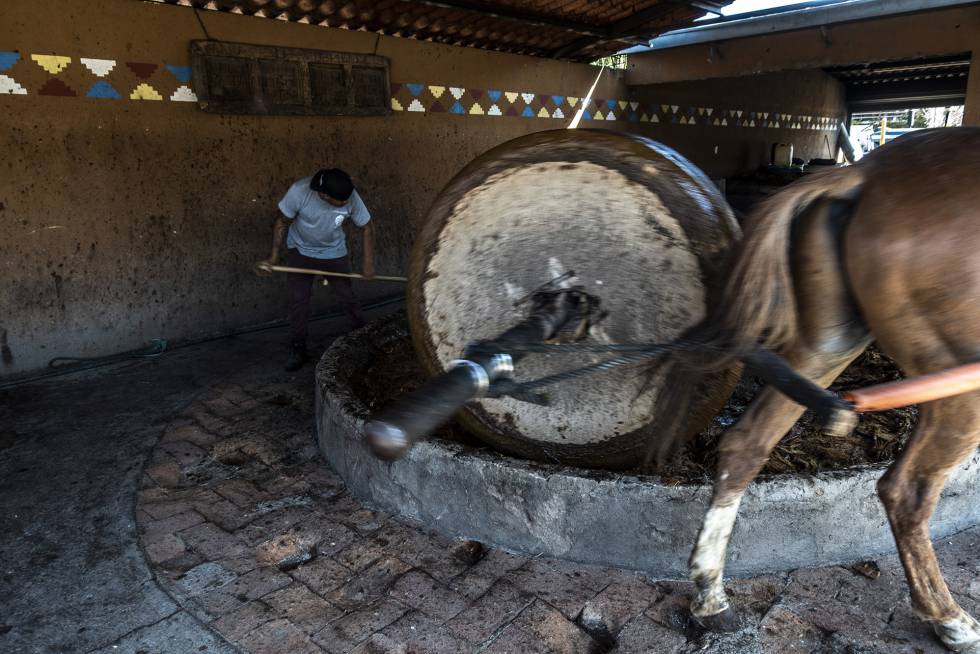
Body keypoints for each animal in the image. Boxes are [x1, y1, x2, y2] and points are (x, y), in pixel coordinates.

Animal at [651, 127, 980, 653]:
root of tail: (862, 174)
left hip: (828, 344)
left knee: (746, 443)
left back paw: (711, 597)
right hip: (956, 379)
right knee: (907, 490)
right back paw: (949, 619)